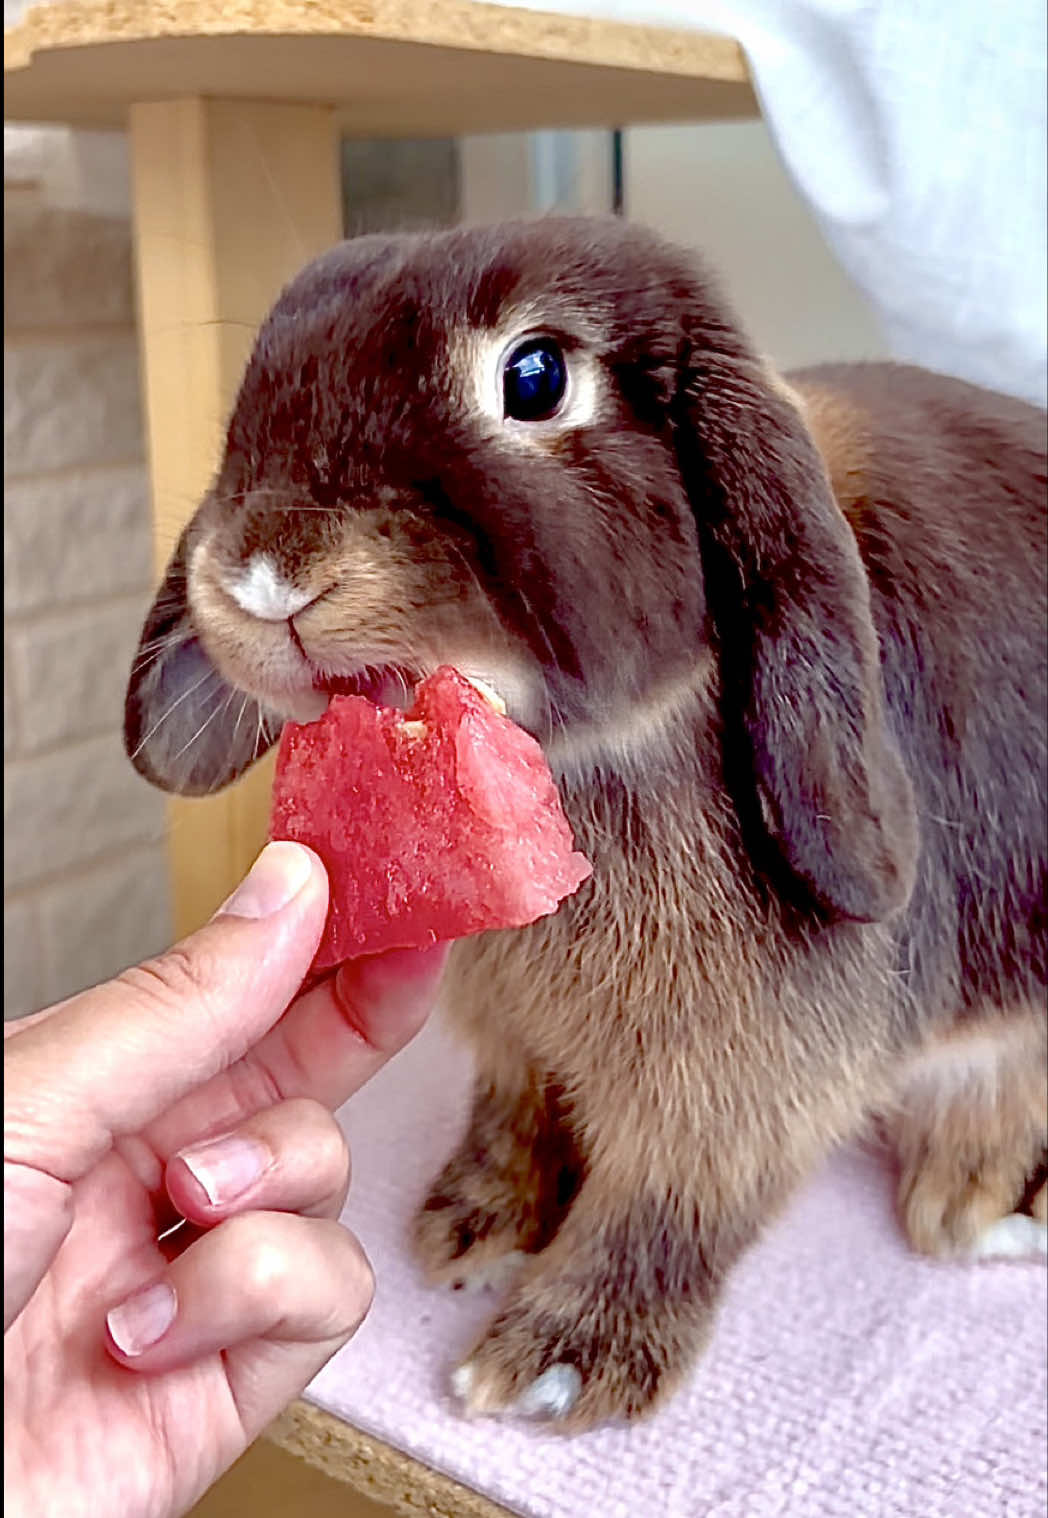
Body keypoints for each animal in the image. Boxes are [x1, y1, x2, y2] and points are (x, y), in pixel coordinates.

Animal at [124, 216, 1048, 1431]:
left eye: (535, 379)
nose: (267, 571)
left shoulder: (732, 1083)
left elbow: (673, 1197)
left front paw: (556, 1363)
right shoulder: (515, 1044)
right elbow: (516, 1111)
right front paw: (473, 1223)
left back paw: (982, 1203)